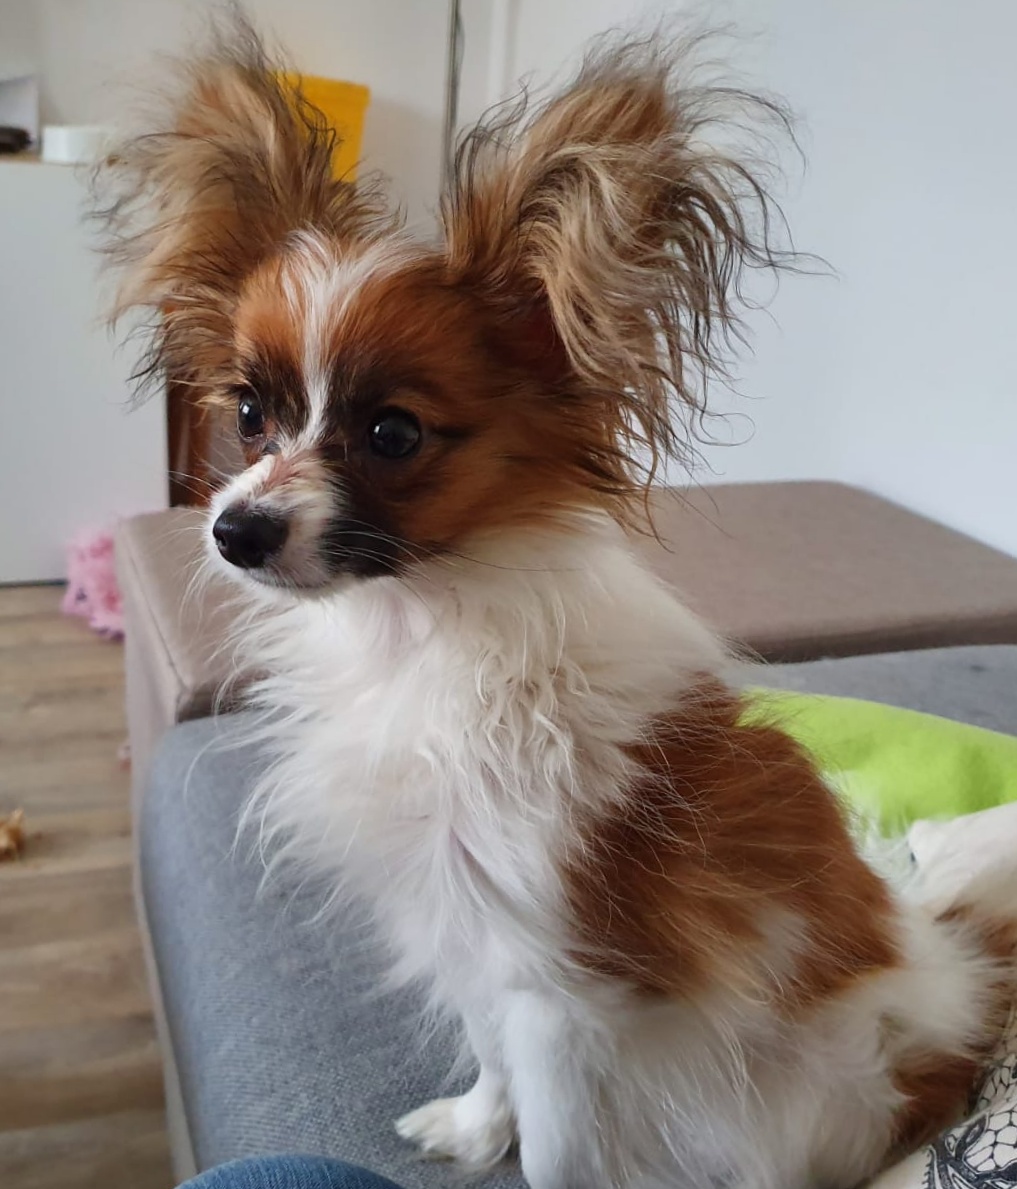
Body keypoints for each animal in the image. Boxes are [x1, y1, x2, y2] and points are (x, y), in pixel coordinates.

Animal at [98, 15, 1017, 1188]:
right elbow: (491, 1060)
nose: (235, 529)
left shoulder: (560, 984)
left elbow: (553, 1149)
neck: (419, 629)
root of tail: (960, 985)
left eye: (392, 433)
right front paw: (476, 1126)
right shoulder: (466, 926)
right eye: (252, 414)